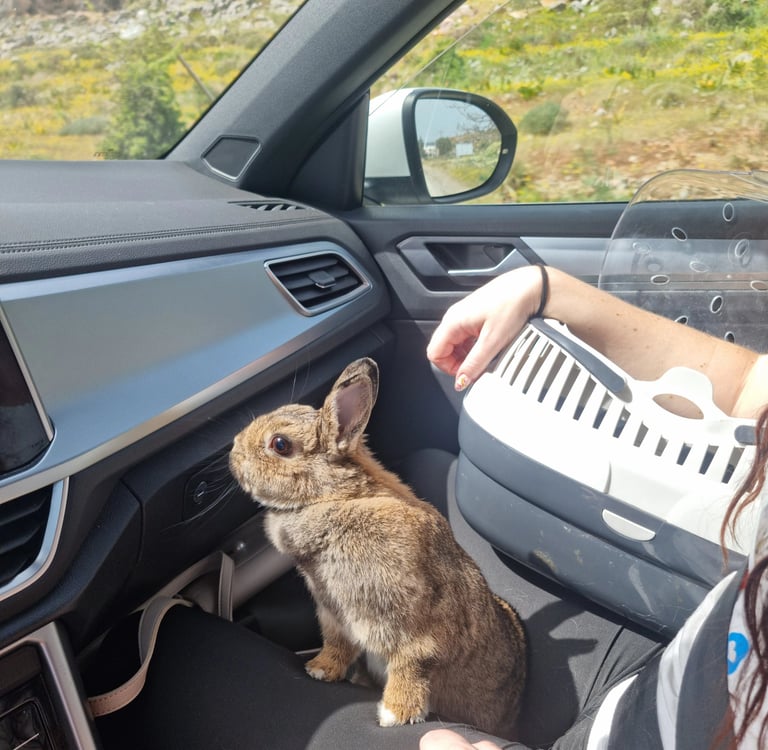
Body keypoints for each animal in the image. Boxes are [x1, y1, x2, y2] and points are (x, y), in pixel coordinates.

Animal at [229, 357, 526, 737]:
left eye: (280, 444)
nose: (233, 450)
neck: (334, 498)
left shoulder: (419, 627)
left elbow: (413, 663)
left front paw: (394, 714)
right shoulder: (334, 615)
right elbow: (338, 644)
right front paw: (320, 669)